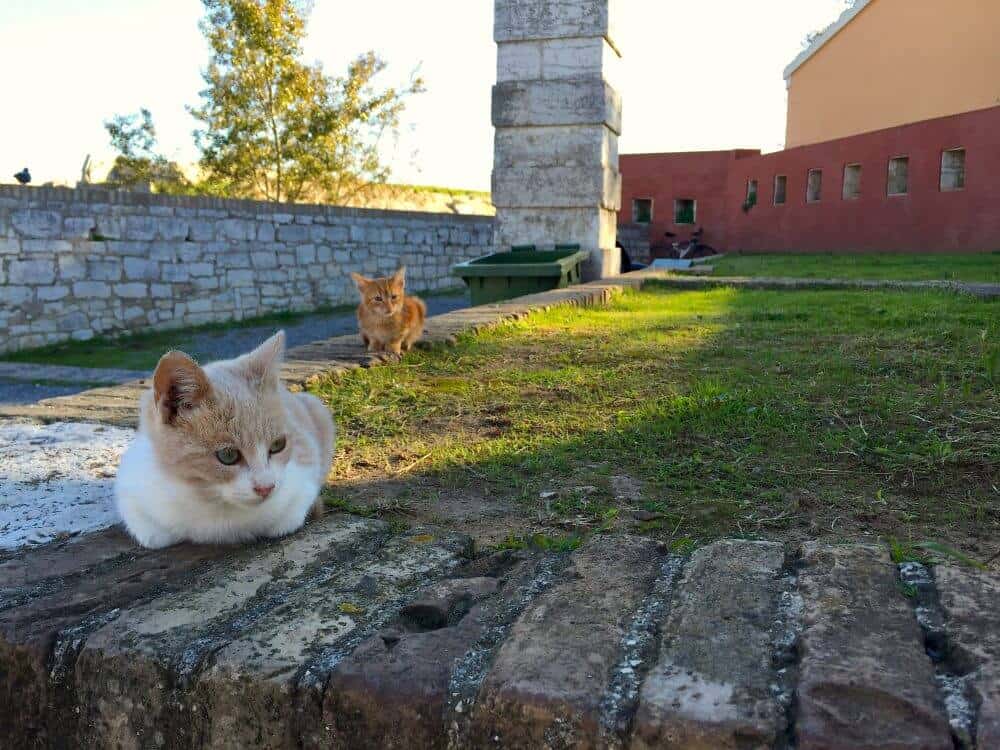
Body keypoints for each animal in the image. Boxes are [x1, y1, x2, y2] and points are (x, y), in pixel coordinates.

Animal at [113, 332, 332, 548]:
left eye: (278, 445)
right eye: (227, 455)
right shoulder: (133, 488)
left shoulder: (304, 468)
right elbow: (152, 535)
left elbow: (290, 515)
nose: (266, 487)